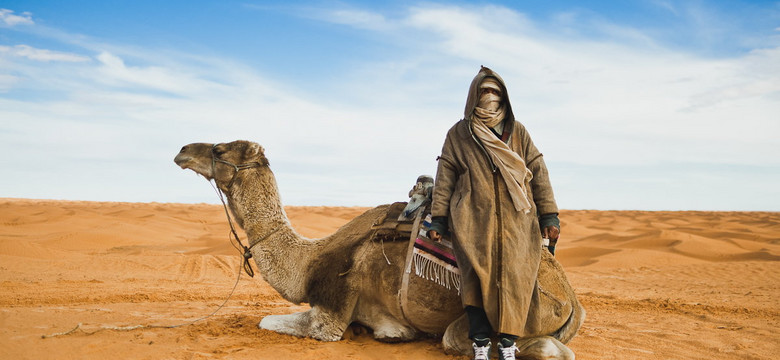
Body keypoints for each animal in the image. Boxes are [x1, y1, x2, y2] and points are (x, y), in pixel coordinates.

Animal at [172, 140, 584, 358]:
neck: (309, 260)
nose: (182, 151)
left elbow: (269, 322)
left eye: (219, 149)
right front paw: (391, 334)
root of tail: (572, 300)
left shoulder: (331, 313)